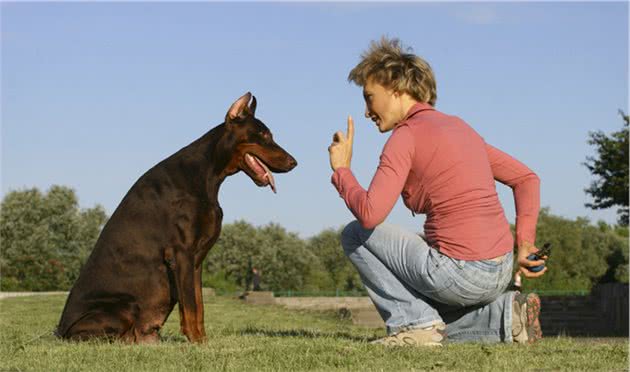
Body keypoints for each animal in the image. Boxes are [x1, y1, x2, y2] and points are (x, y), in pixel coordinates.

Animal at [55, 93, 298, 342]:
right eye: (264, 135)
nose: (293, 162)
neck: (208, 174)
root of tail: (60, 330)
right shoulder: (180, 253)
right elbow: (190, 306)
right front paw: (197, 342)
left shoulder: (196, 260)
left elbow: (198, 306)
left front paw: (203, 341)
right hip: (125, 306)